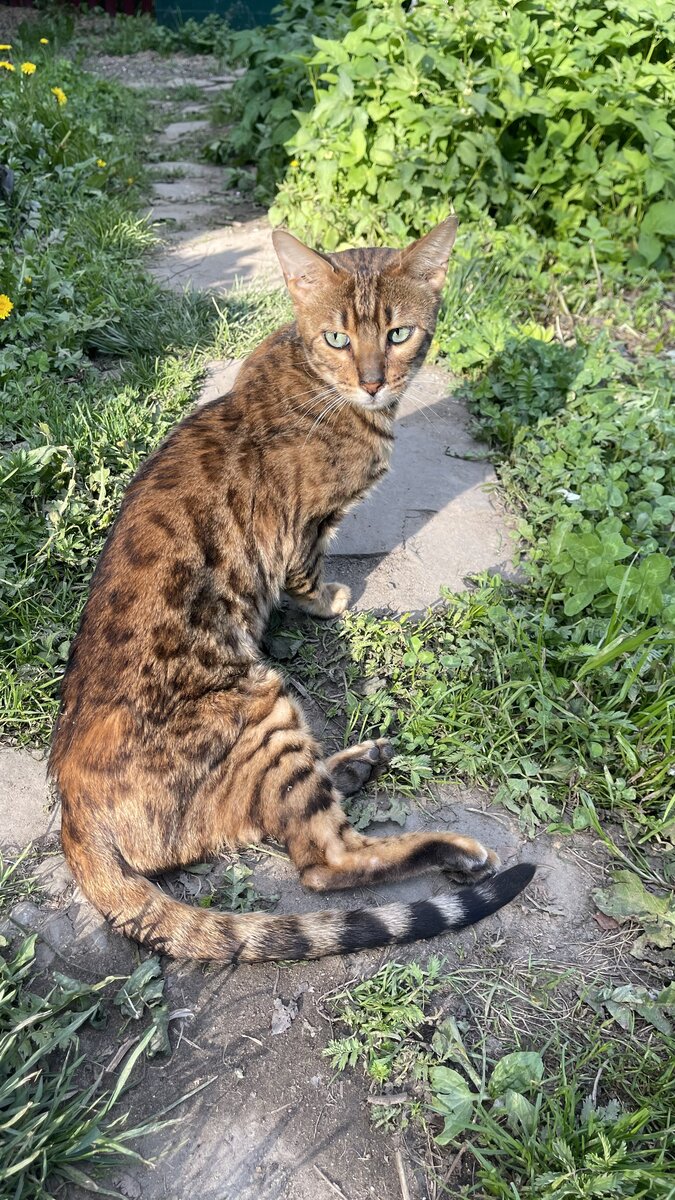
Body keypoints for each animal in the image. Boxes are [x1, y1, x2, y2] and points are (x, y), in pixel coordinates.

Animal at [47, 216, 533, 960]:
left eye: (398, 333)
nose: (373, 381)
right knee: (321, 861)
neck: (309, 370)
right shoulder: (304, 526)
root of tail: (72, 816)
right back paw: (450, 847)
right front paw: (326, 598)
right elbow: (308, 569)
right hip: (261, 705)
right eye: (337, 338)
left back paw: (359, 762)